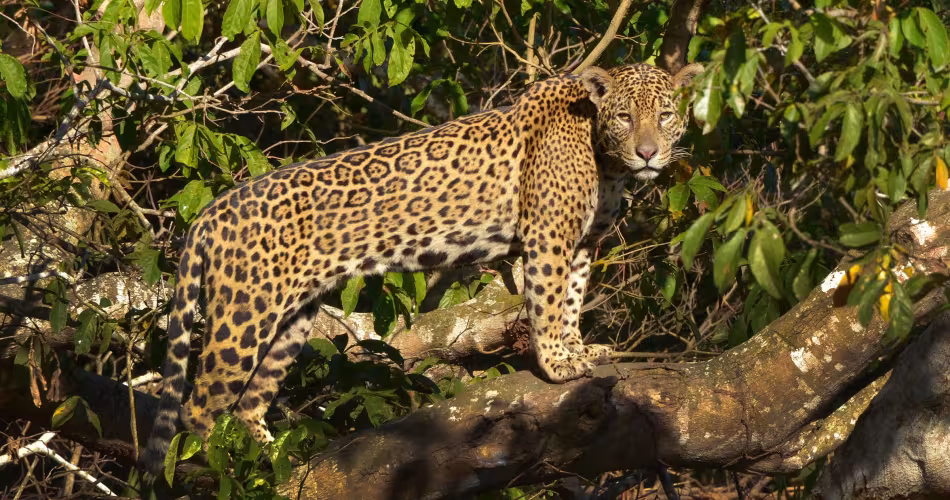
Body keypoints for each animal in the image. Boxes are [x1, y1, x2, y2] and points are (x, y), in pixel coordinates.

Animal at [141, 62, 704, 473]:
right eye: (625, 117)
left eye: (666, 114)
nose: (648, 153)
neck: (604, 158)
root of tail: (210, 213)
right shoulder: (548, 236)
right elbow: (547, 303)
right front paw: (556, 364)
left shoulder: (584, 241)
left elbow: (570, 301)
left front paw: (579, 349)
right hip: (245, 314)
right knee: (199, 406)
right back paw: (220, 470)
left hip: (293, 318)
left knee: (249, 402)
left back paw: (272, 461)